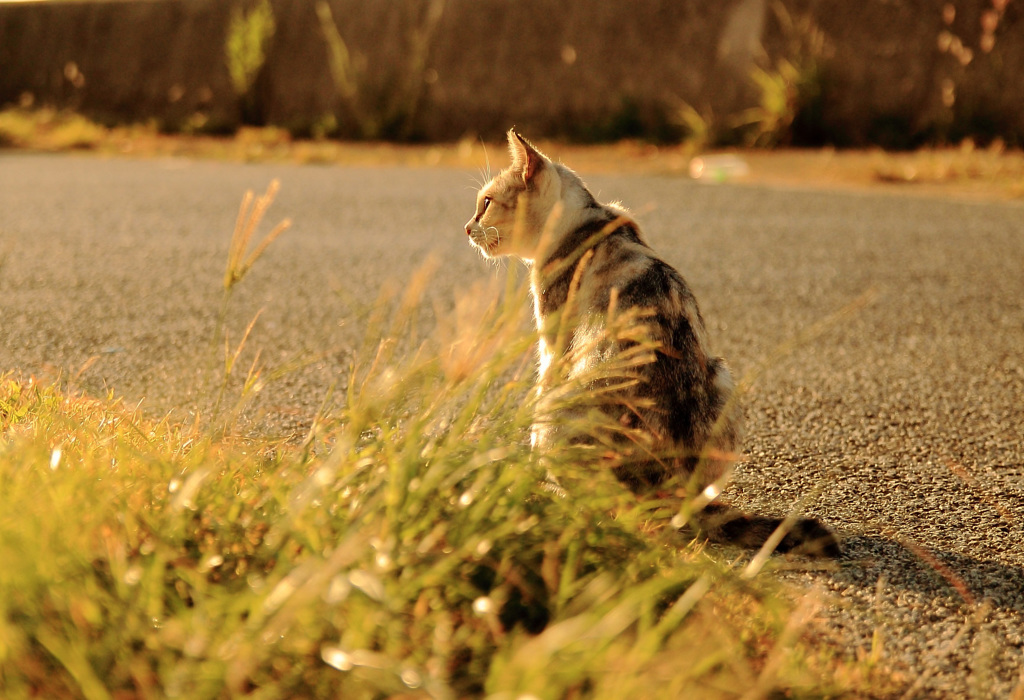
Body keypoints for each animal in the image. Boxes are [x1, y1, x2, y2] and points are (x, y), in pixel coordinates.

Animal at [464, 129, 839, 556]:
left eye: (486, 203)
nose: (467, 227)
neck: (585, 220)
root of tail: (671, 493)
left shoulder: (554, 343)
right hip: (723, 377)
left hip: (562, 404)